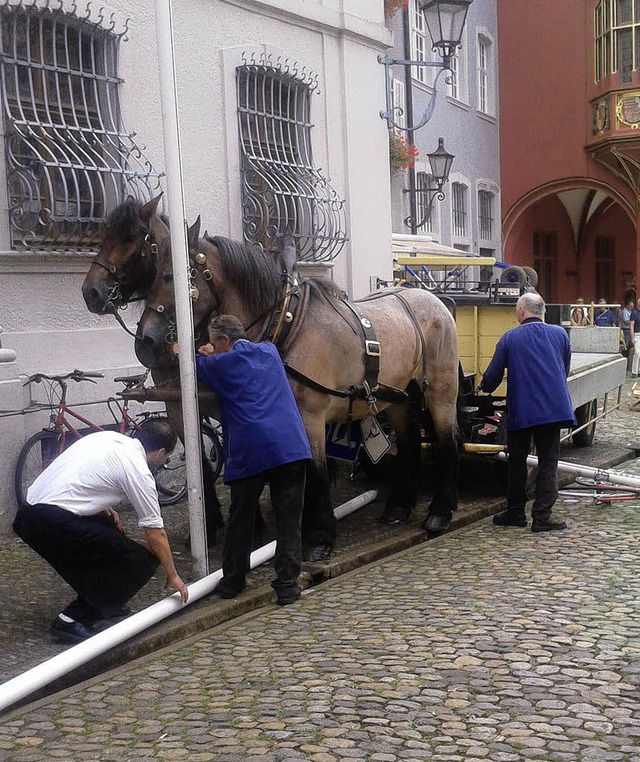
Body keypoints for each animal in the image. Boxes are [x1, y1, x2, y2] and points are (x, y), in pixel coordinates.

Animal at [134, 217, 460, 556]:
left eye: (170, 277)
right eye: (152, 275)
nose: (145, 340)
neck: (288, 323)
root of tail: (431, 298)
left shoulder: (310, 414)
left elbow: (315, 470)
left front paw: (318, 537)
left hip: (441, 388)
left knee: (447, 440)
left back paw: (439, 511)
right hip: (396, 395)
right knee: (409, 442)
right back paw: (398, 506)